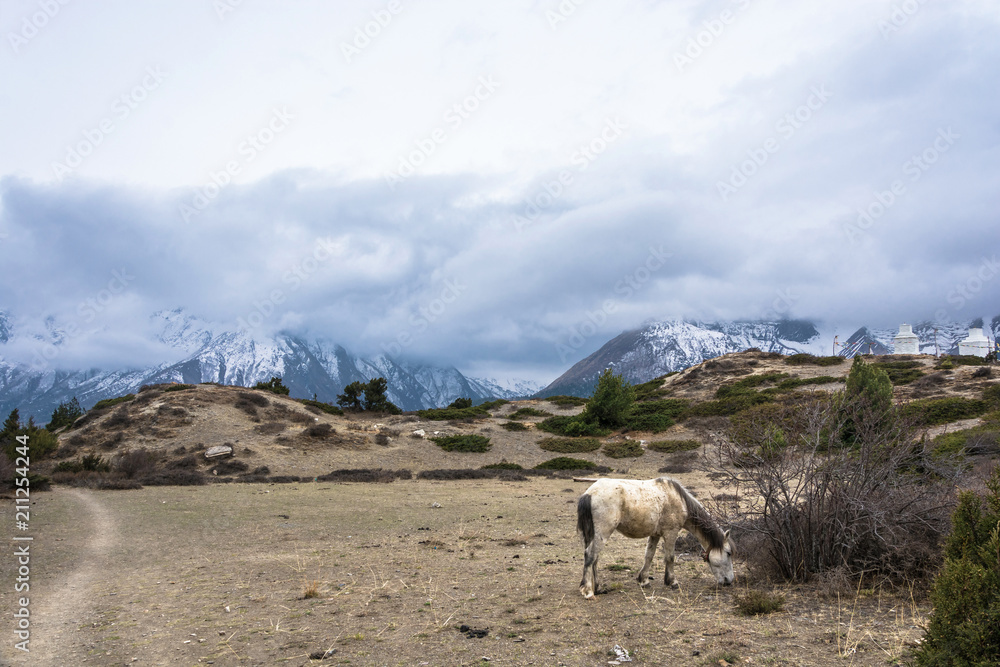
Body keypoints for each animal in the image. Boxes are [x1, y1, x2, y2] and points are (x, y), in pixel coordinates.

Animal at [576, 476, 734, 598]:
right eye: (728, 553)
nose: (729, 581)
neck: (678, 499)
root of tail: (589, 493)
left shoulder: (655, 535)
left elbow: (649, 556)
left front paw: (644, 580)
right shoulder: (671, 533)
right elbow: (670, 557)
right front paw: (672, 581)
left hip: (592, 534)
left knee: (594, 558)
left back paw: (597, 588)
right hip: (602, 533)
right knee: (590, 555)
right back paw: (588, 591)